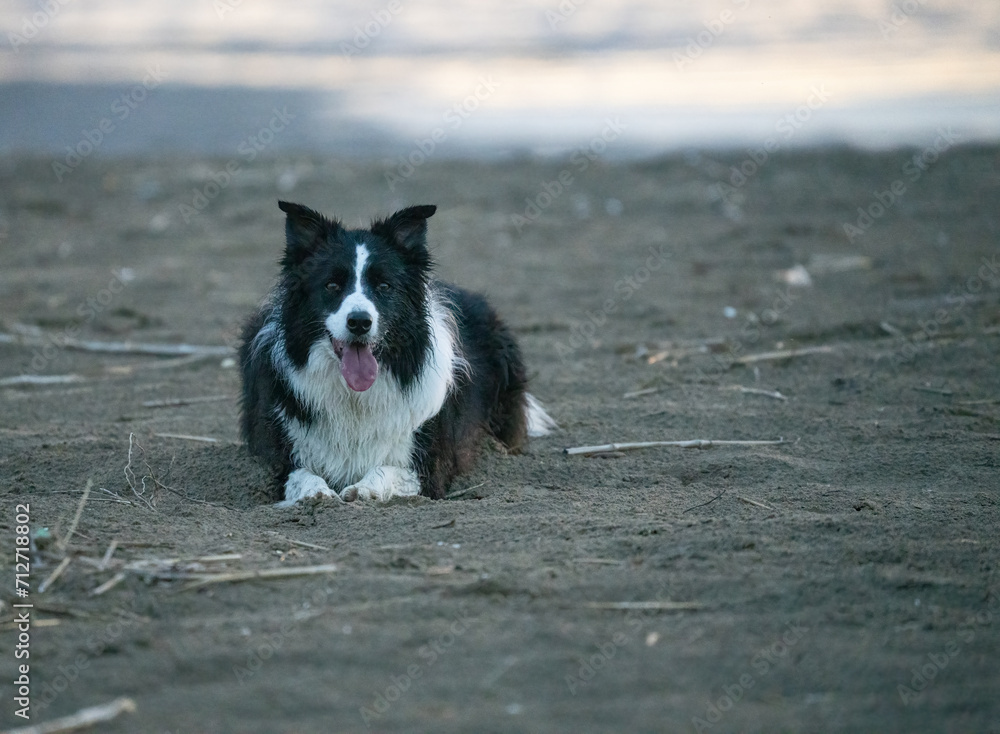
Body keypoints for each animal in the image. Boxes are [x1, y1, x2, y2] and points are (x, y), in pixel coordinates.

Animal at [239, 201, 560, 506]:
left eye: (384, 286)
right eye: (331, 285)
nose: (359, 322)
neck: (355, 397)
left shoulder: (429, 465)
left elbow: (387, 470)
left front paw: (363, 489)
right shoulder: (280, 454)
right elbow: (300, 474)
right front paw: (315, 492)